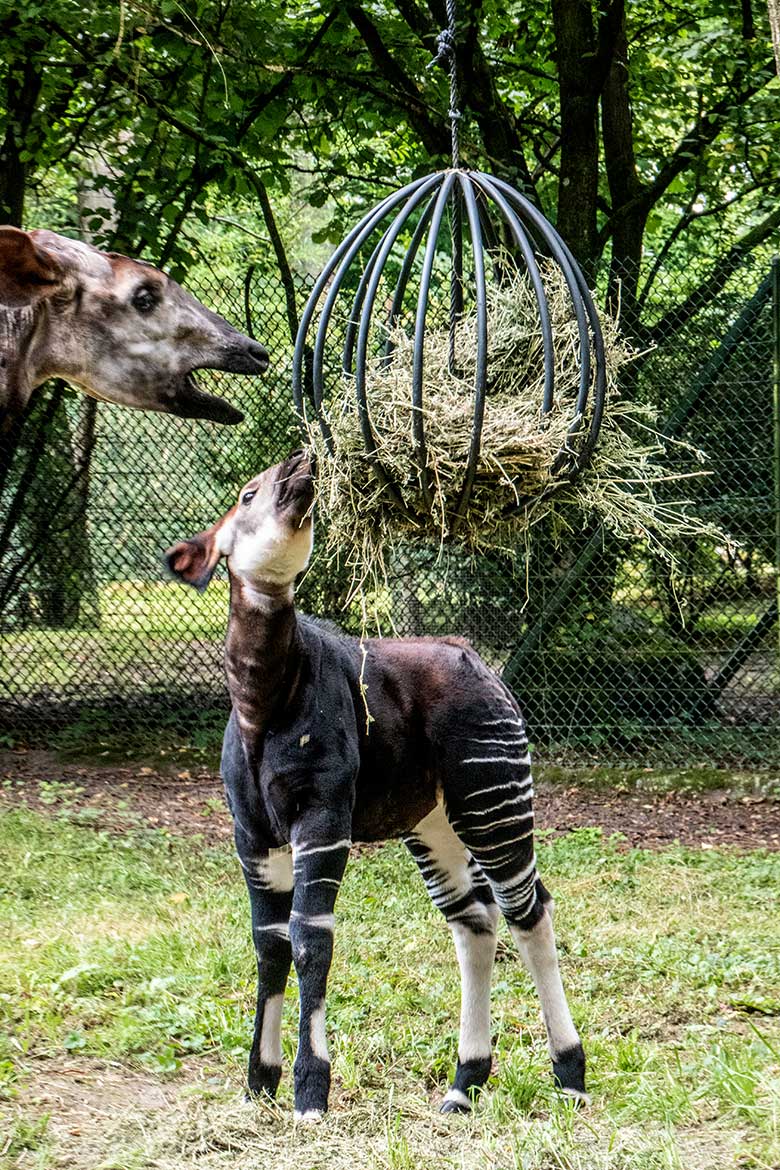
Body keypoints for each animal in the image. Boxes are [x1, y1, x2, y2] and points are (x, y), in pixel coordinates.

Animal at [166, 451, 584, 1118]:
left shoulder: (322, 819)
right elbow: (268, 946)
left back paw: (569, 1075)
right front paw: (259, 1083)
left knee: (529, 910)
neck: (262, 701)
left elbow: (310, 942)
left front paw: (310, 1090)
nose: (304, 461)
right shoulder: (253, 836)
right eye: (250, 493)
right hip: (432, 822)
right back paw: (465, 1083)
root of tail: (477, 659)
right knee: (474, 920)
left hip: (491, 800)